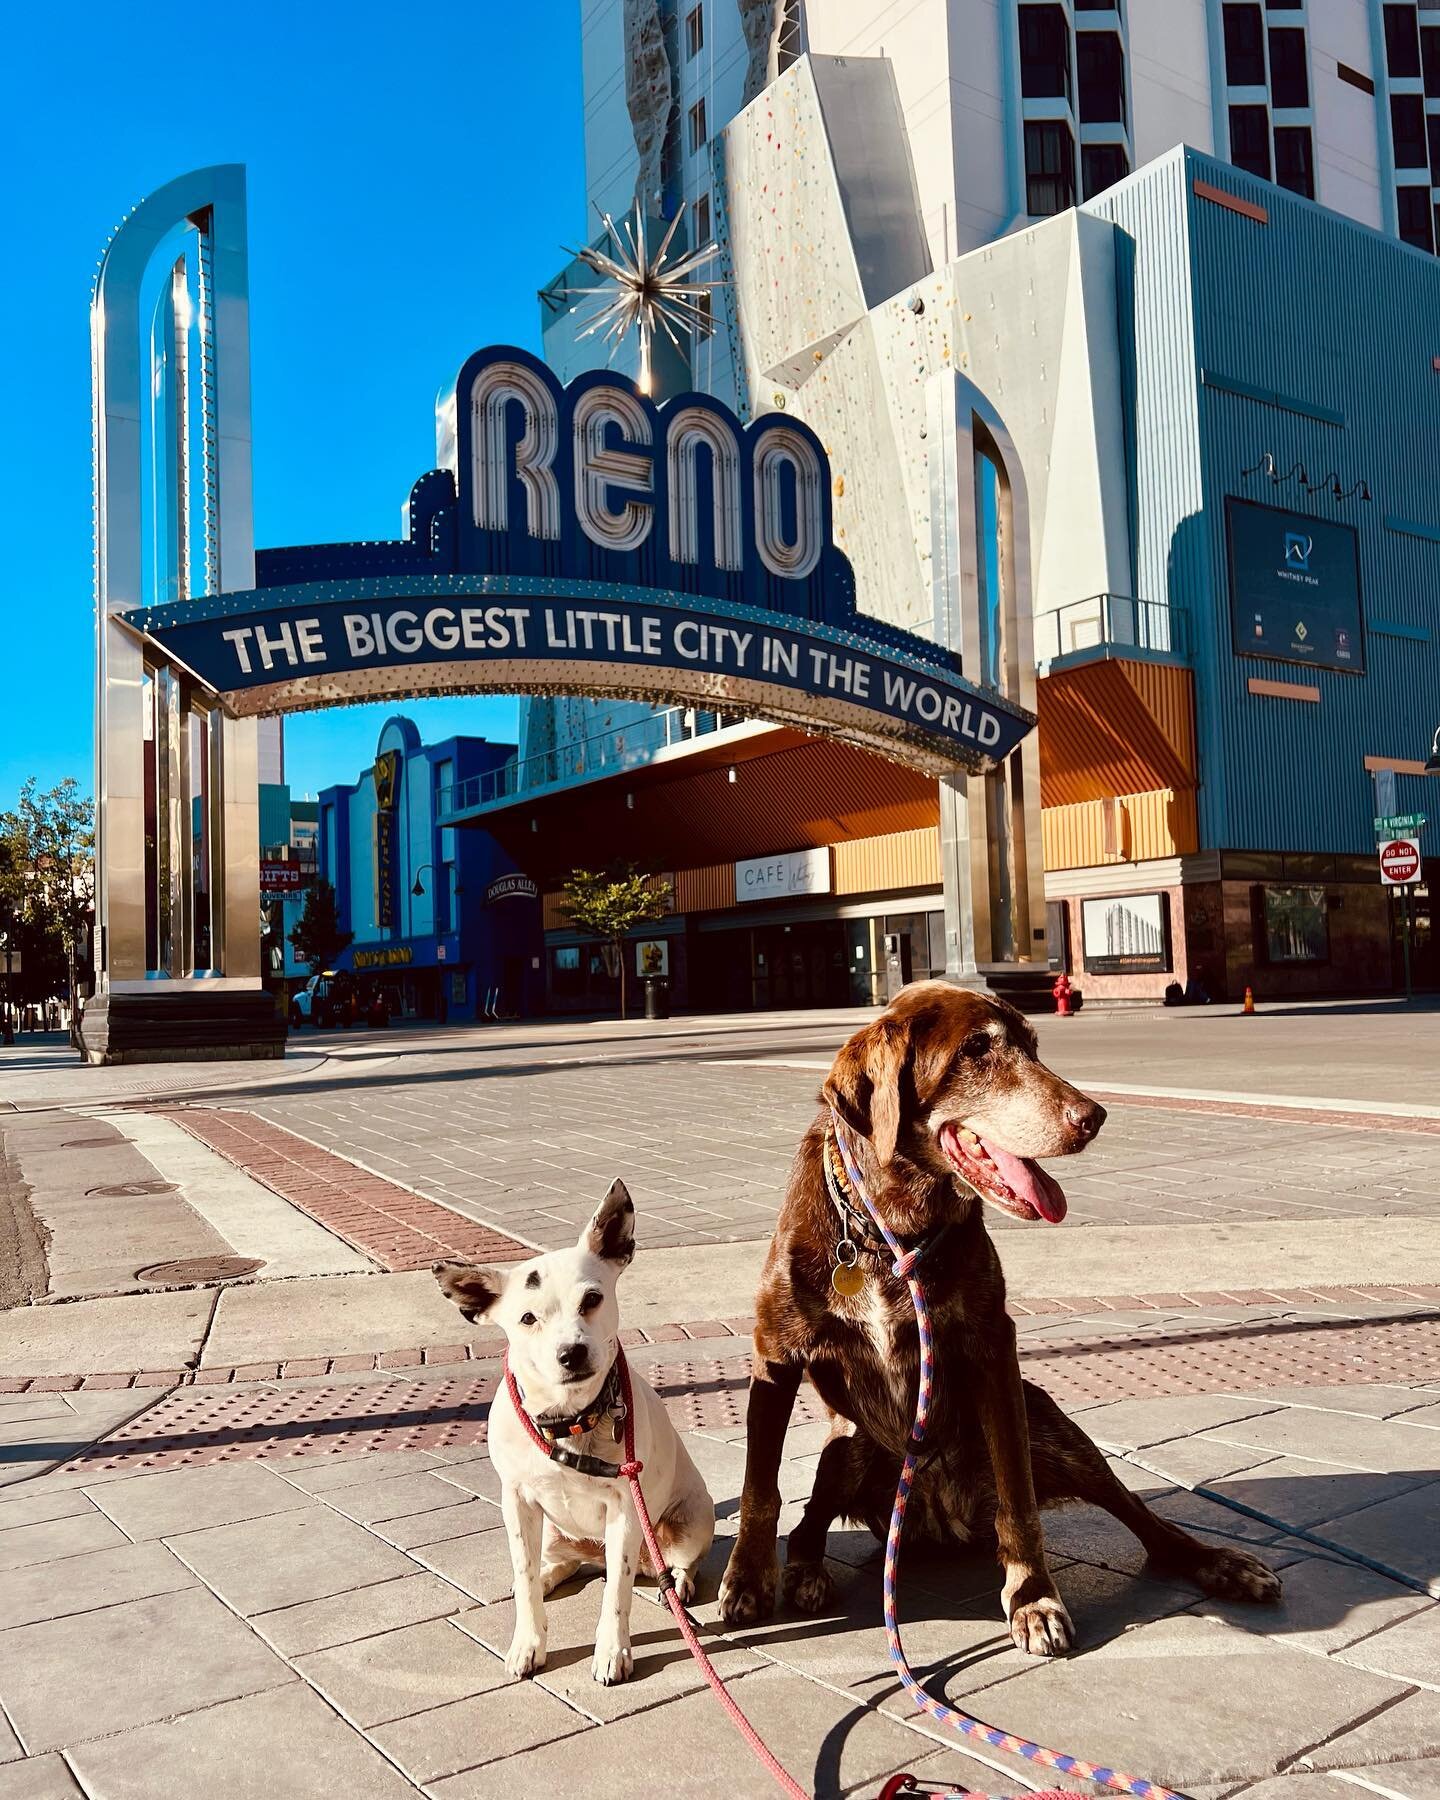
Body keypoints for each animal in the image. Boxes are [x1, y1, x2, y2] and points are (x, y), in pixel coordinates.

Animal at [430, 1180, 716, 1684]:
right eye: (527, 1318)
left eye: (592, 1299)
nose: (571, 1353)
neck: (569, 1419)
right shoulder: (517, 1501)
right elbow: (524, 1577)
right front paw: (528, 1642)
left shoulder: (626, 1510)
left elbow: (615, 1594)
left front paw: (612, 1652)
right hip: (551, 1531)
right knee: (559, 1566)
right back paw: (549, 1576)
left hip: (691, 1519)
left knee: (676, 1566)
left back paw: (675, 1588)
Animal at [720, 986, 1281, 1656]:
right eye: (974, 1050)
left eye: (1034, 1048)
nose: (1093, 1116)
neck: (889, 1232)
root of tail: (943, 1526)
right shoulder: (774, 1354)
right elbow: (759, 1486)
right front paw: (747, 1579)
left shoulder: (994, 1352)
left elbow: (1020, 1499)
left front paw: (1033, 1596)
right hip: (848, 1446)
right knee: (807, 1525)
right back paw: (804, 1572)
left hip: (1052, 1424)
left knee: (1144, 1520)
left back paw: (1222, 1563)